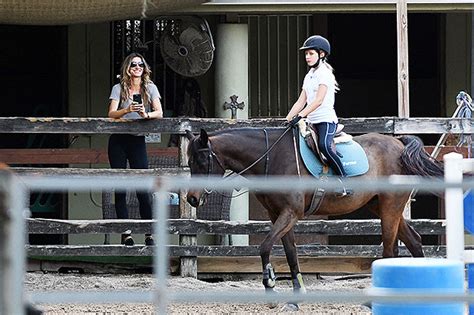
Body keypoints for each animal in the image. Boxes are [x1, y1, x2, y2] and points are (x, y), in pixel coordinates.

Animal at [184, 127, 440, 310]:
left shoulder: (291, 213)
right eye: (189, 162)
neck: (271, 158)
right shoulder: (278, 215)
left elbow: (265, 247)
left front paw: (271, 286)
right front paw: (295, 299)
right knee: (413, 241)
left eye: (202, 161)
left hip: (390, 205)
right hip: (381, 205)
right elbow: (290, 253)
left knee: (389, 250)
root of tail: (398, 143)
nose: (192, 199)